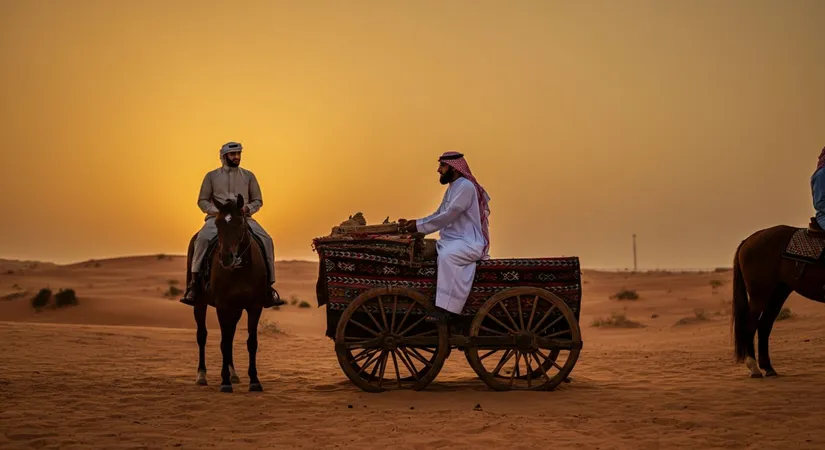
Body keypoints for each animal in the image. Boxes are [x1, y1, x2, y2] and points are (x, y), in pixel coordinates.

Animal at [185, 195, 268, 392]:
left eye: (239, 222)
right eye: (217, 223)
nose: (226, 258)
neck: (240, 270)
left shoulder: (255, 306)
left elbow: (251, 342)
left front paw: (254, 380)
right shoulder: (222, 306)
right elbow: (224, 343)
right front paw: (224, 382)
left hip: (236, 309)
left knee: (231, 335)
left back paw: (234, 374)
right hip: (200, 304)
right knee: (202, 335)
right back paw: (202, 375)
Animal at [732, 220, 825, 378]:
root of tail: (748, 240)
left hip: (778, 293)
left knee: (764, 325)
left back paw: (768, 368)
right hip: (760, 295)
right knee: (751, 324)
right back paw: (754, 368)